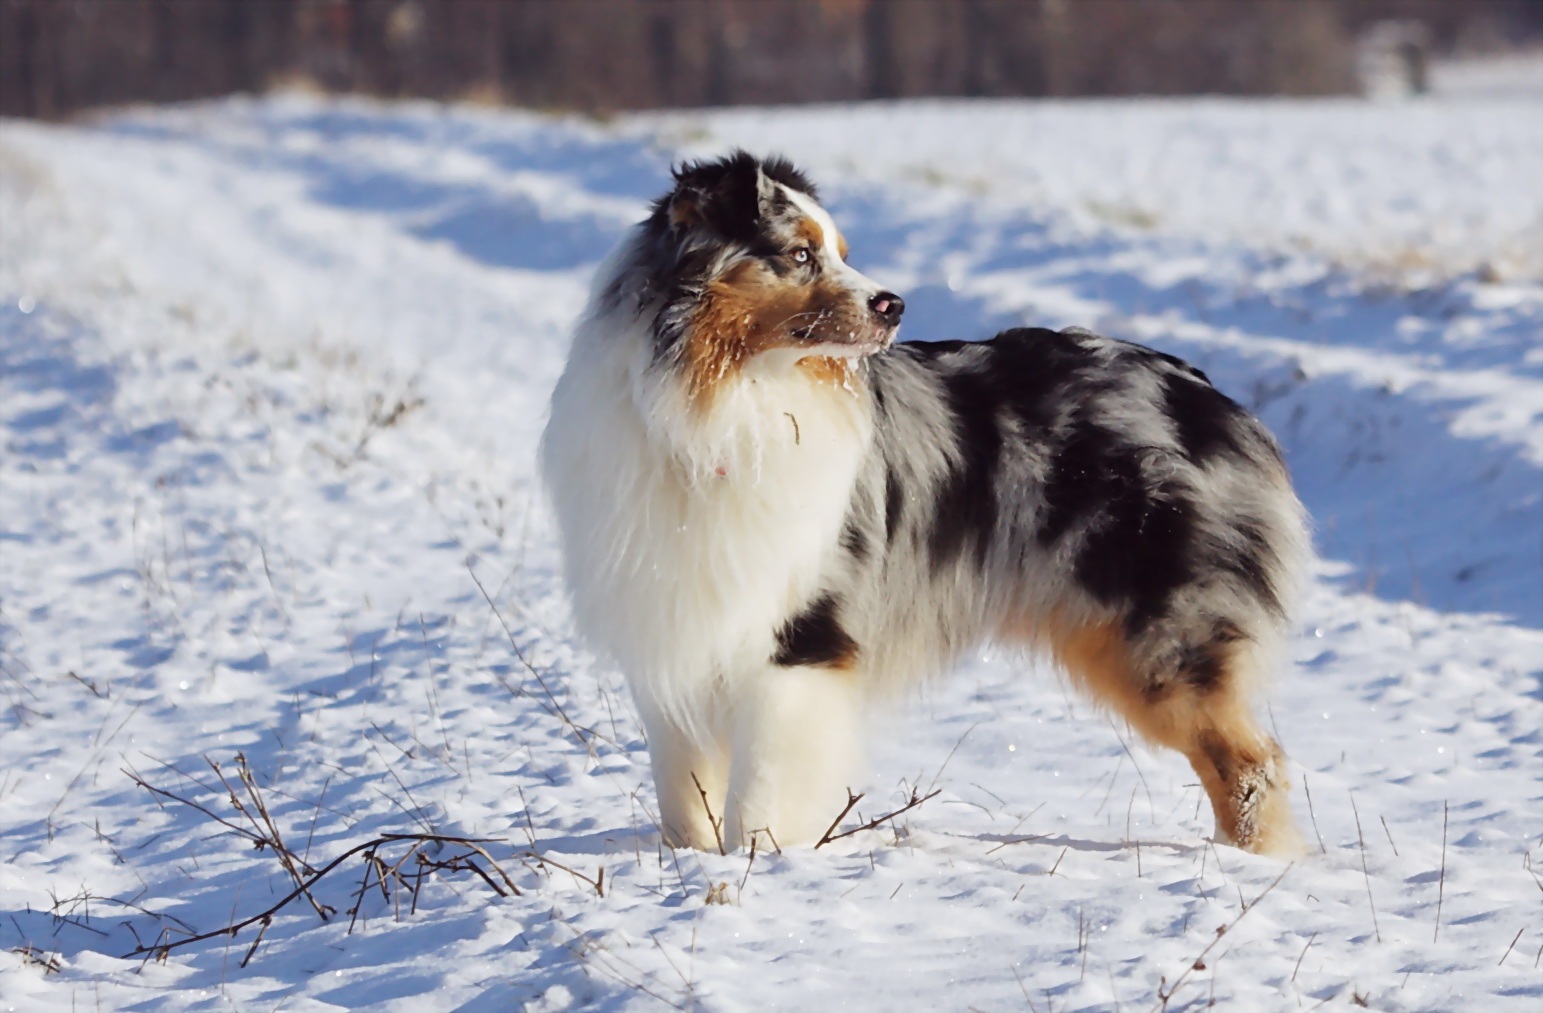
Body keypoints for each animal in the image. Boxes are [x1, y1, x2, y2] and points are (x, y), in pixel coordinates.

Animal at [540, 151, 1302, 851]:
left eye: (843, 252)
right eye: (799, 253)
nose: (894, 304)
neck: (726, 401)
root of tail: (1208, 394)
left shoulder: (798, 637)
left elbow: (759, 792)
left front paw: (754, 870)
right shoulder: (669, 624)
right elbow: (684, 790)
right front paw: (688, 866)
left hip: (1159, 635)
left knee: (1252, 762)